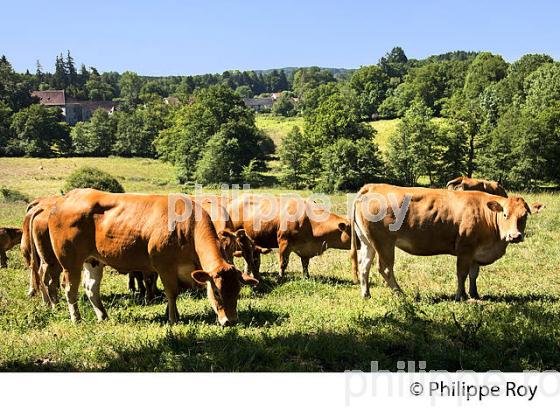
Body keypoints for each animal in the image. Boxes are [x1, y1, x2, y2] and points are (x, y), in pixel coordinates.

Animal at [47, 188, 258, 324]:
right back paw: (76, 318)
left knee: (91, 288)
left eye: (237, 291)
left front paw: (170, 313)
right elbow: (172, 292)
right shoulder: (164, 266)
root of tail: (66, 198)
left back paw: (103, 316)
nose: (230, 321)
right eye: (216, 292)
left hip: (93, 261)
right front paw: (173, 318)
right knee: (70, 289)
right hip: (70, 262)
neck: (186, 228)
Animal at [352, 184, 532, 300]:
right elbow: (462, 273)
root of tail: (372, 187)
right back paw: (400, 293)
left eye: (524, 216)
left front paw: (474, 294)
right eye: (505, 214)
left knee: (364, 266)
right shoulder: (465, 249)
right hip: (384, 243)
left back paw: (366, 294)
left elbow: (473, 274)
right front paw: (461, 296)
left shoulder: (476, 252)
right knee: (385, 268)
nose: (515, 236)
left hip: (367, 241)